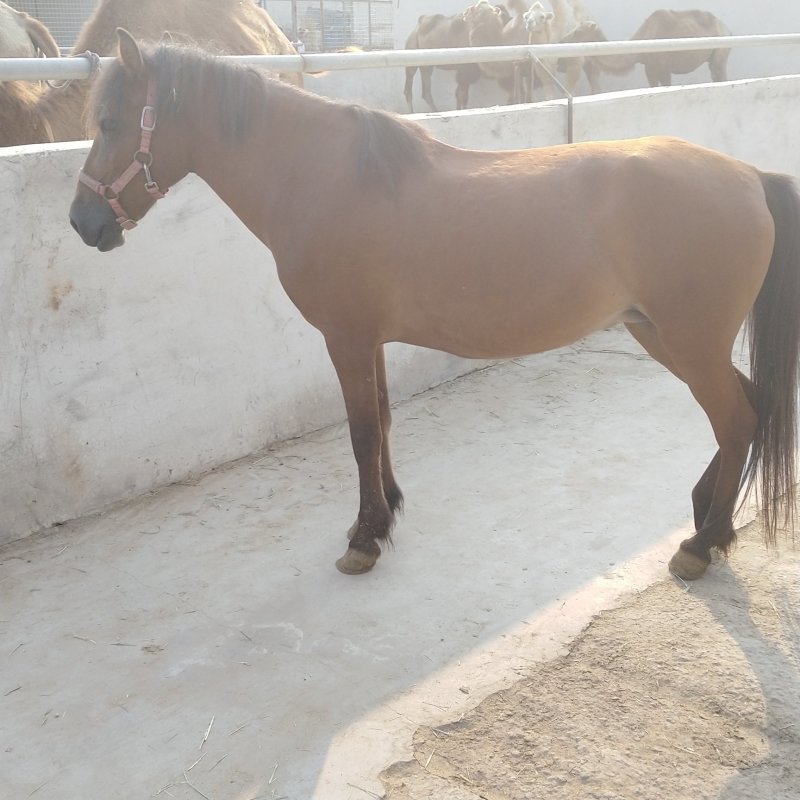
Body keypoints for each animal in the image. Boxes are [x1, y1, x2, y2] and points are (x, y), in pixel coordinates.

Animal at [70, 31, 800, 582]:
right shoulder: (369, 339)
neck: (321, 175)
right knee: (748, 409)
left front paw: (364, 537)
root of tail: (749, 177)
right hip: (662, 335)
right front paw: (389, 509)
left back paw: (702, 543)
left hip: (687, 341)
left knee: (737, 418)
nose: (82, 222)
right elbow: (384, 421)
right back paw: (709, 519)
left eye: (110, 123)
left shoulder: (345, 336)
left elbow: (363, 432)